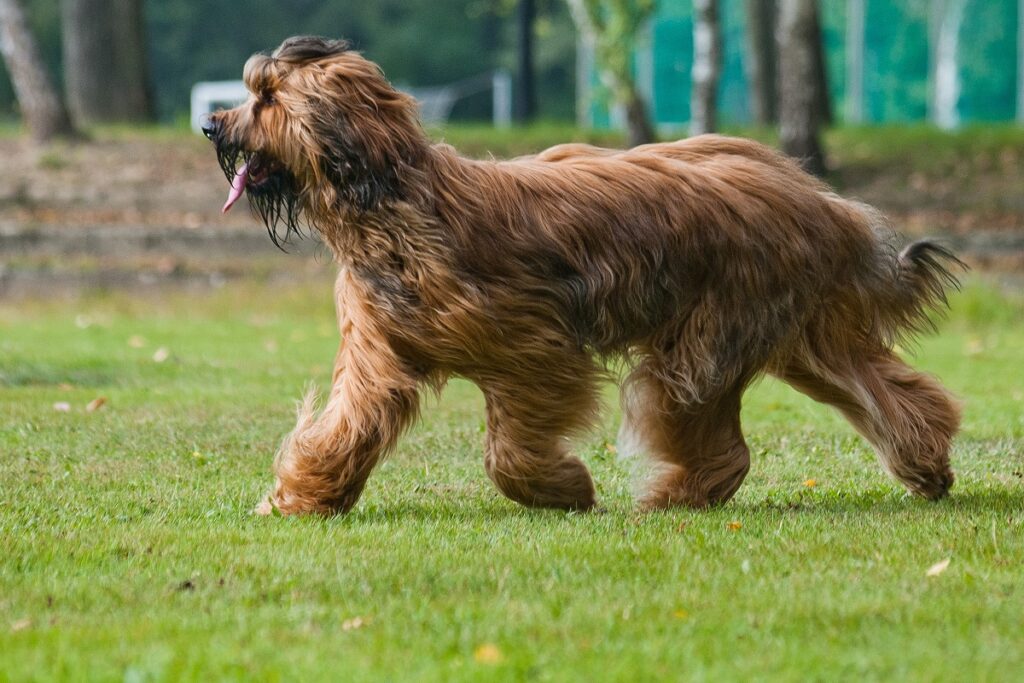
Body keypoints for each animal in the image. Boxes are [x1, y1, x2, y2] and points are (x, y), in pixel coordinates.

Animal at [205, 37, 958, 516]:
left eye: (267, 99)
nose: (212, 125)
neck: (391, 199)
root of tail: (818, 198)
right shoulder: (379, 353)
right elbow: (348, 425)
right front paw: (302, 495)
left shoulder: (534, 348)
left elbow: (511, 445)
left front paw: (562, 488)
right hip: (797, 331)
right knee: (886, 389)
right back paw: (928, 465)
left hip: (706, 336)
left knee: (713, 428)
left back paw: (677, 494)